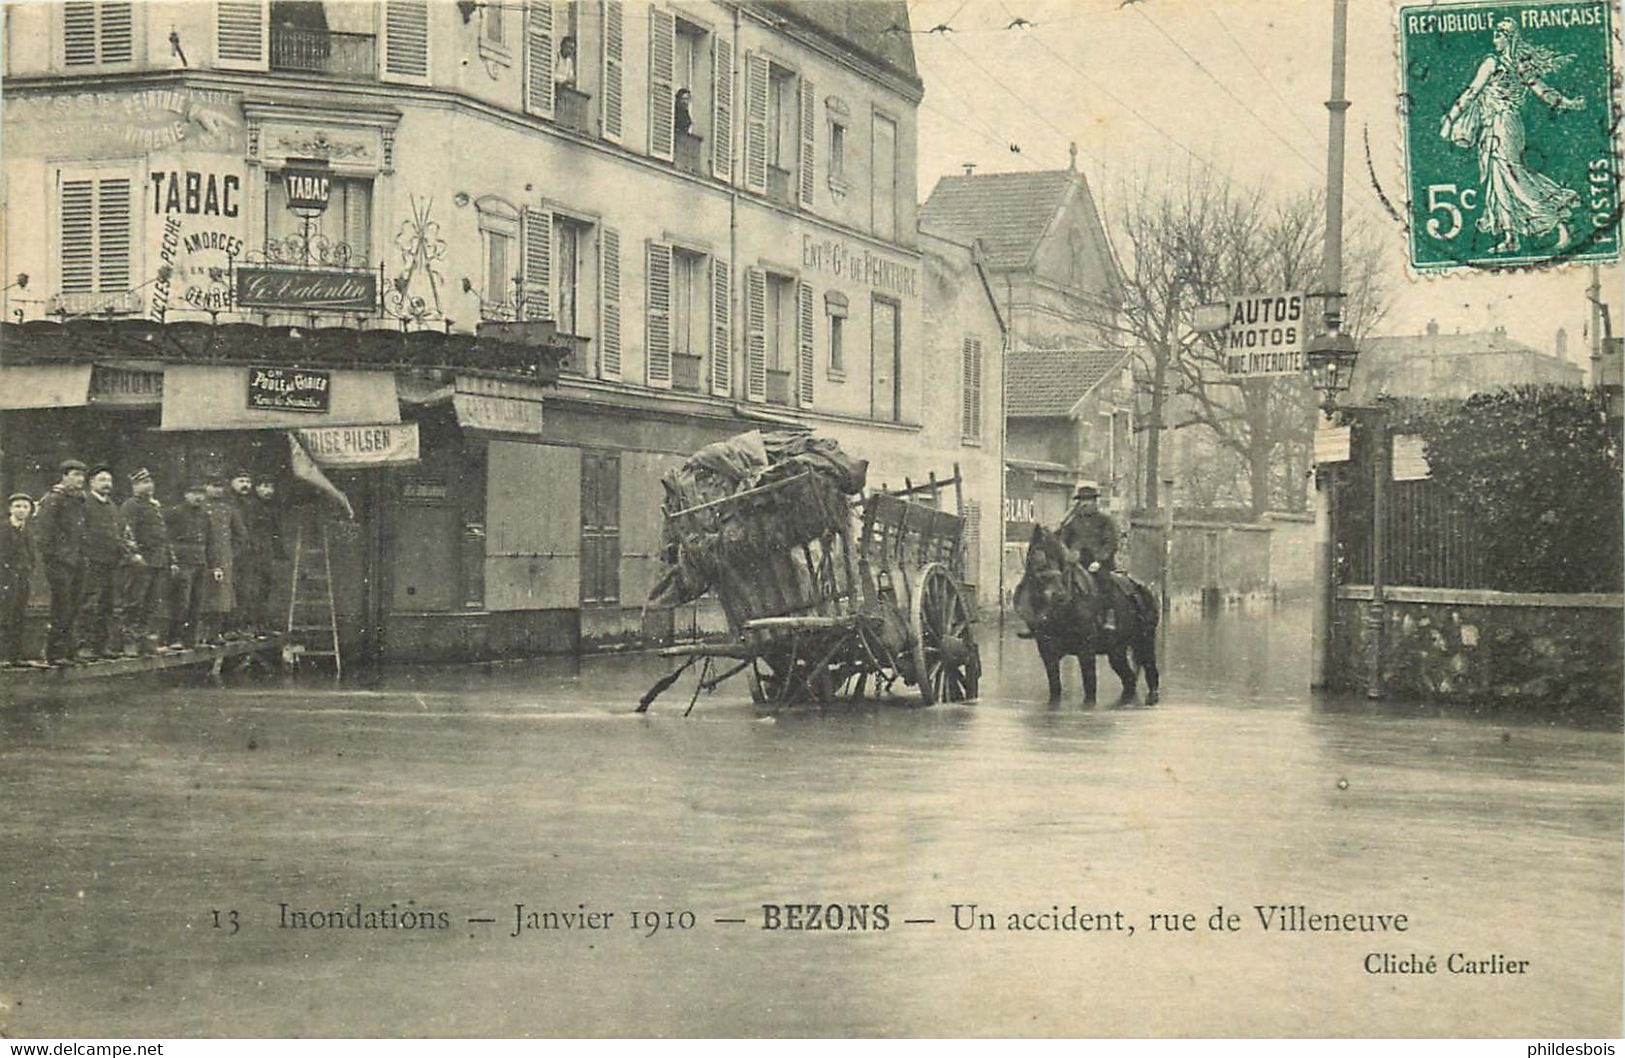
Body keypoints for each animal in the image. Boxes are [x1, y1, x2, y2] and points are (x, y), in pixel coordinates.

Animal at [1014, 526, 1157, 708]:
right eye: (1035, 556)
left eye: (1061, 558)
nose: (1057, 594)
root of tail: (1143, 587)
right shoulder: (1047, 651)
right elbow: (1055, 687)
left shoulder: (1086, 649)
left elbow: (1090, 685)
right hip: (1116, 651)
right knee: (1129, 679)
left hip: (1144, 641)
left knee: (1150, 667)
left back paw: (1152, 696)